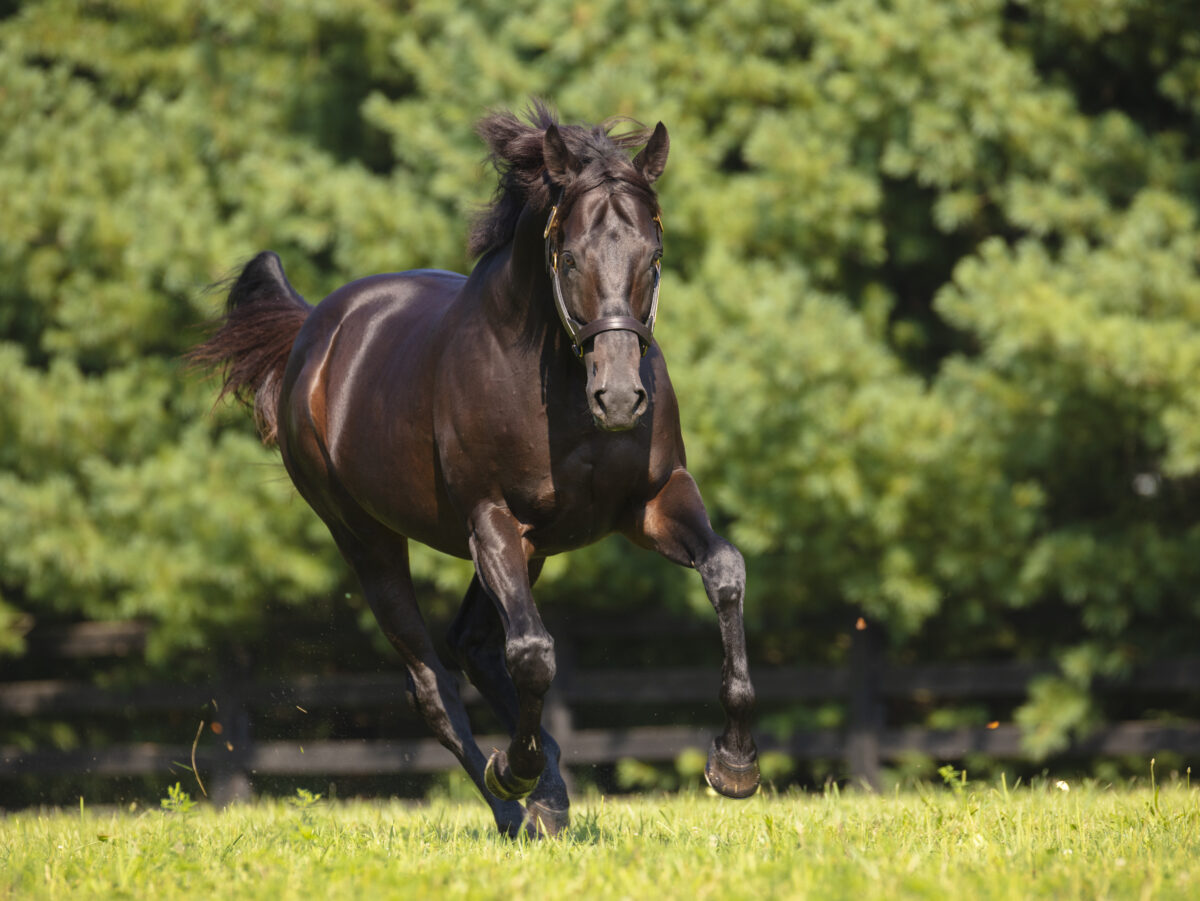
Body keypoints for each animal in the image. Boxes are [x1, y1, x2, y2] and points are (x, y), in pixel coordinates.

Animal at [196, 101, 758, 835]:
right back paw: (514, 802)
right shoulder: (491, 519)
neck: (557, 381)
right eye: (568, 255)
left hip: (533, 546)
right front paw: (514, 769)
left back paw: (548, 791)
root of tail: (314, 332)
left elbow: (724, 572)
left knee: (472, 644)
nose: (619, 398)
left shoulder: (652, 501)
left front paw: (735, 762)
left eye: (654, 256)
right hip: (369, 540)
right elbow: (534, 653)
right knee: (435, 683)